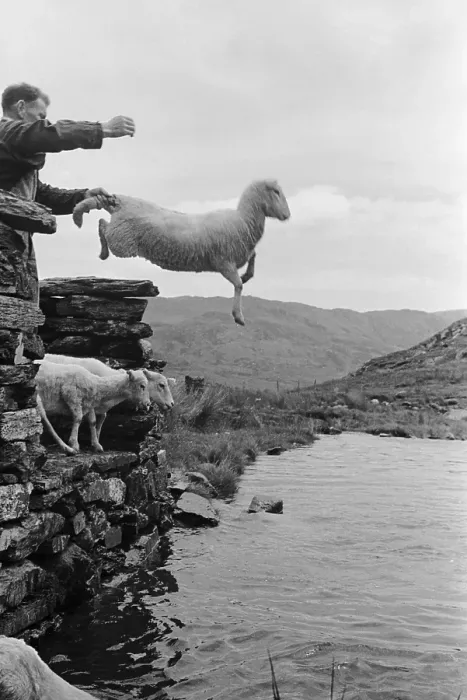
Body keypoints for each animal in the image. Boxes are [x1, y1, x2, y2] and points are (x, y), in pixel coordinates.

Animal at [72, 179, 291, 326]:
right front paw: (238, 316)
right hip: (122, 240)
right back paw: (102, 251)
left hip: (121, 234)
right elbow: (238, 285)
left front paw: (247, 275)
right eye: (276, 192)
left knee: (102, 223)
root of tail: (119, 202)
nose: (287, 215)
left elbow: (252, 258)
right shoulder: (223, 262)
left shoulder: (237, 257)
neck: (244, 220)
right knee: (102, 226)